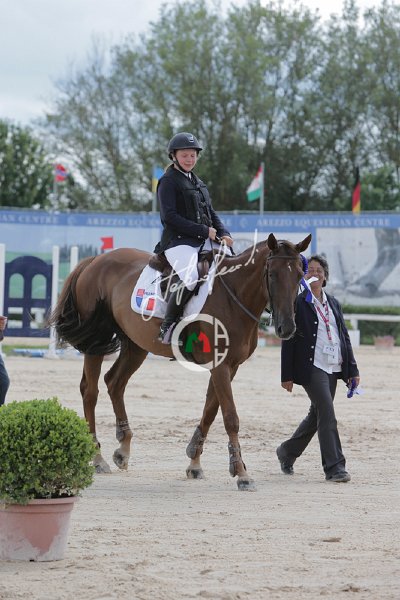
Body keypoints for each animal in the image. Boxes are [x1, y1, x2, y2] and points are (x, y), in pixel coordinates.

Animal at [49, 232, 311, 491]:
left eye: (300, 275)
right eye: (272, 274)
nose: (287, 328)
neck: (233, 296)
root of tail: (94, 261)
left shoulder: (230, 366)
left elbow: (210, 411)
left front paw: (195, 463)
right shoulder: (220, 366)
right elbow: (230, 418)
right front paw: (242, 474)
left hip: (135, 344)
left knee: (115, 382)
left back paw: (123, 450)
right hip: (97, 339)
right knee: (90, 391)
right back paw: (97, 458)